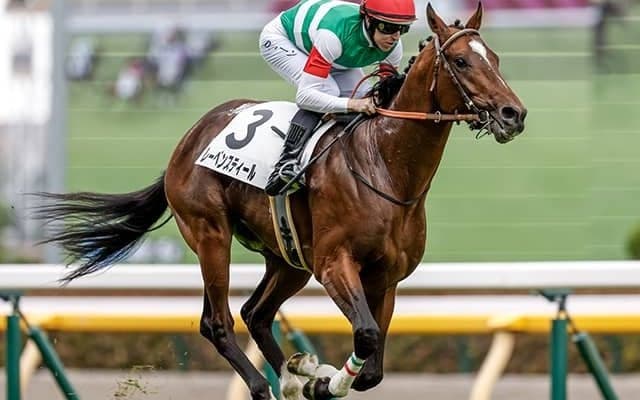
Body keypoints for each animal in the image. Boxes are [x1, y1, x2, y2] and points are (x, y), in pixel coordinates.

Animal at [34, 3, 526, 400]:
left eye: (496, 59)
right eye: (461, 61)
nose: (513, 114)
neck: (386, 168)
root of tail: (188, 140)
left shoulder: (386, 277)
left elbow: (373, 367)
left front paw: (314, 374)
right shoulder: (333, 263)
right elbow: (366, 336)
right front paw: (323, 381)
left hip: (288, 257)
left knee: (255, 313)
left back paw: (295, 372)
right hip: (211, 235)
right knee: (218, 321)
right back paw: (267, 383)